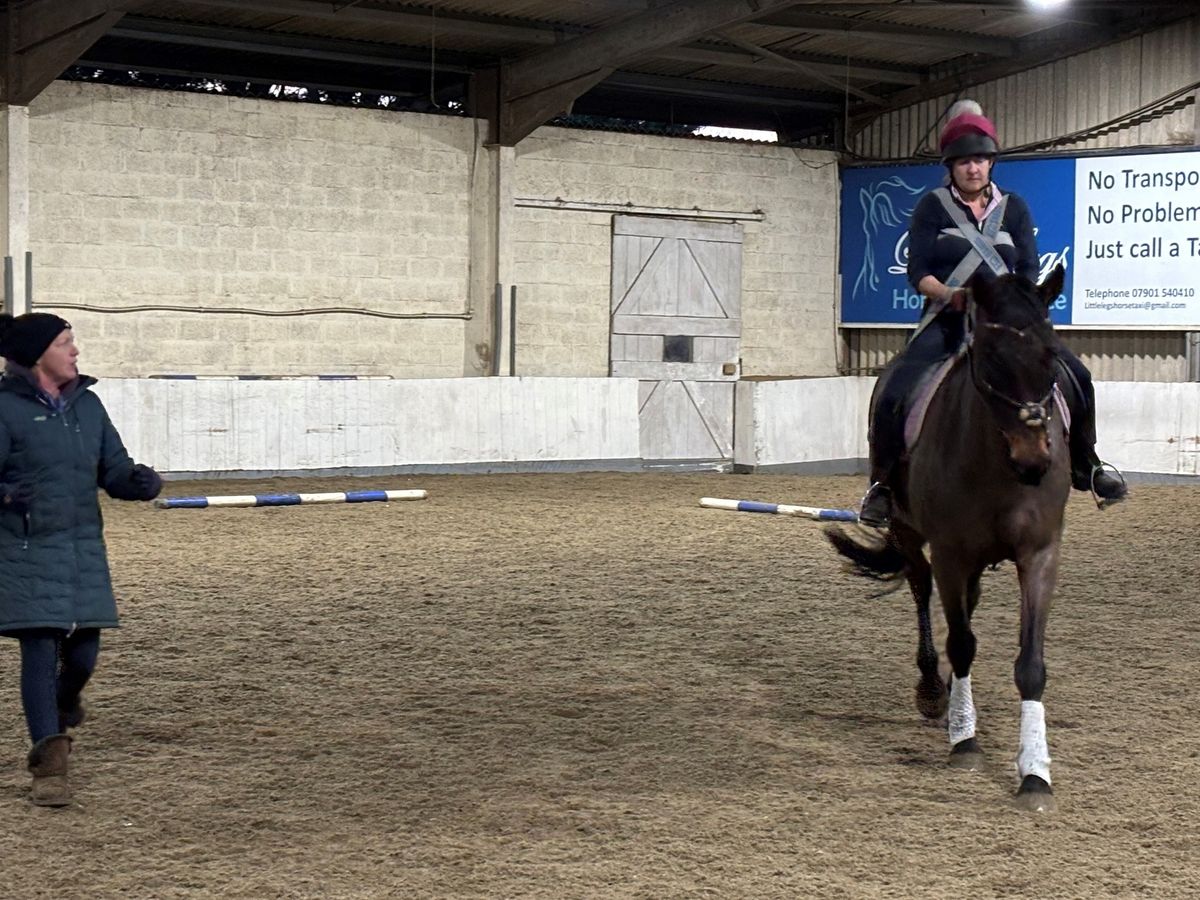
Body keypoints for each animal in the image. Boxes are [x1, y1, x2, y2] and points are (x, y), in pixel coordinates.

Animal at [830, 264, 1075, 816]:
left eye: (1051, 355)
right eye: (992, 358)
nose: (1035, 460)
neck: (999, 466)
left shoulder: (1039, 556)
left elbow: (1031, 665)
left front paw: (1035, 774)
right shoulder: (950, 553)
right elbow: (961, 643)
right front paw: (965, 740)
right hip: (909, 530)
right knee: (921, 589)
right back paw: (932, 690)